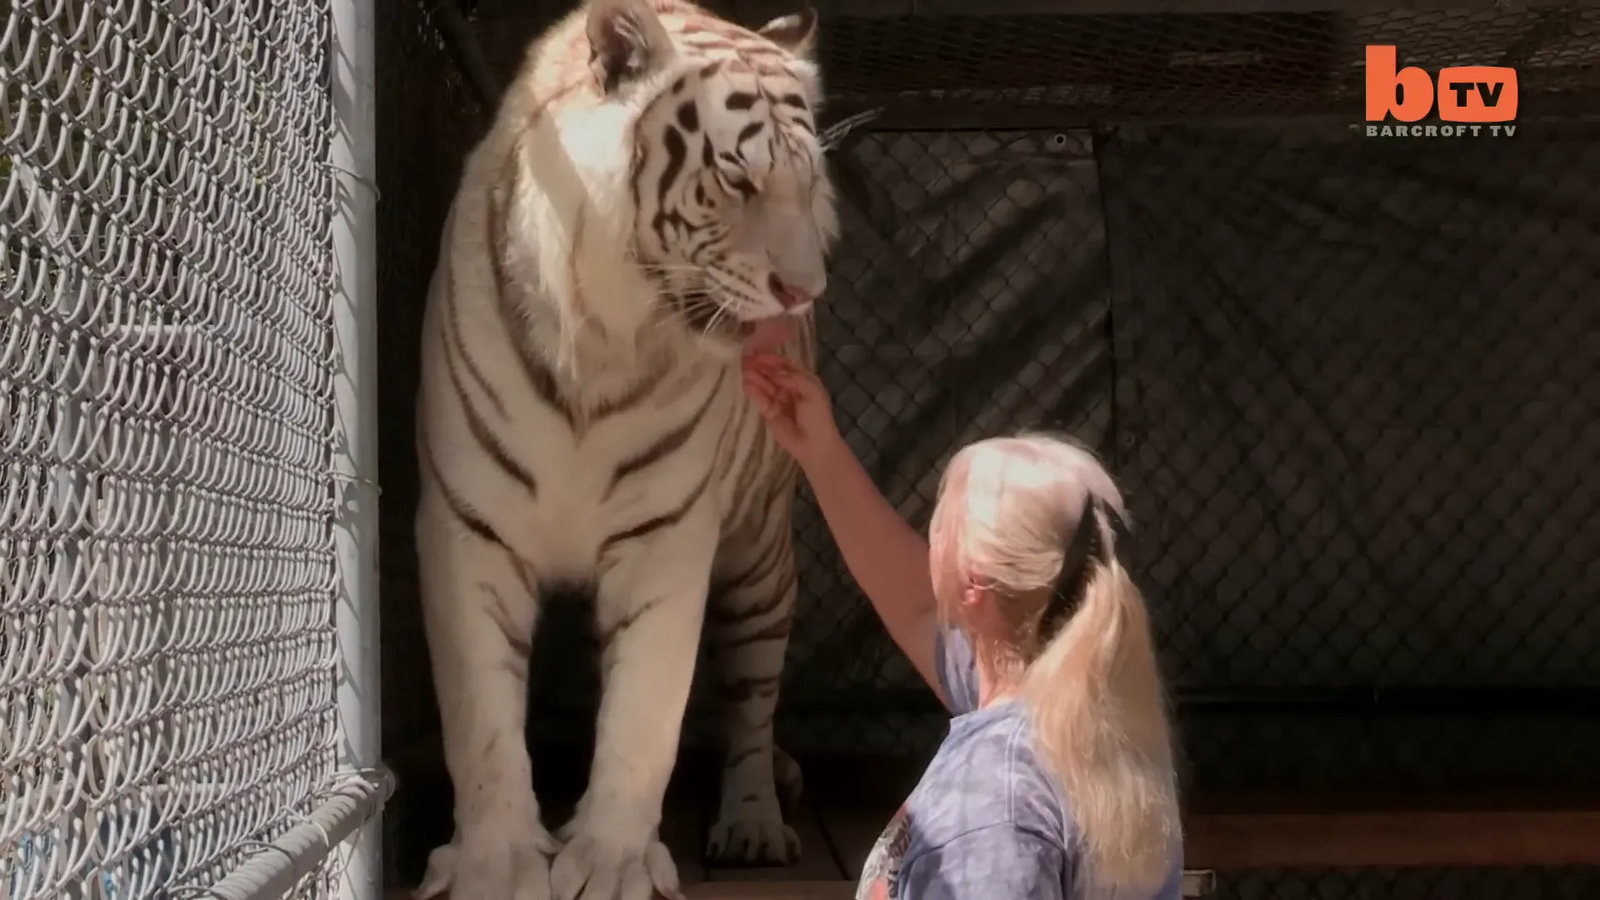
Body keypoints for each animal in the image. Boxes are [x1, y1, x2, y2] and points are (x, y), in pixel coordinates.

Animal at [408, 1, 838, 899]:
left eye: (809, 183)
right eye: (739, 181)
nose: (804, 291)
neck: (603, 336)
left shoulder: (665, 537)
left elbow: (646, 714)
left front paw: (609, 864)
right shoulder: (468, 528)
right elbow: (480, 717)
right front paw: (498, 863)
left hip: (761, 557)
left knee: (751, 700)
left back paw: (753, 821)